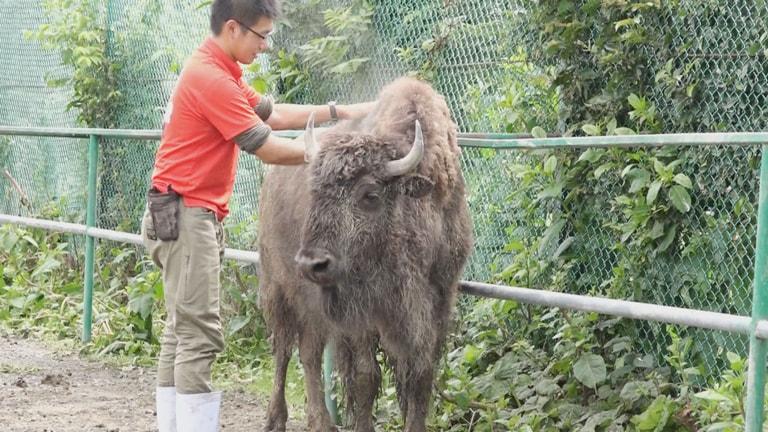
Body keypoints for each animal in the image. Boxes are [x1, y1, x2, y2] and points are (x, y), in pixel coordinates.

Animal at [258, 77, 474, 432]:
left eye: (370, 195)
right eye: (315, 192)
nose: (311, 263)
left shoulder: (437, 302)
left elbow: (420, 375)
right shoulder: (362, 314)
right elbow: (365, 376)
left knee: (308, 351)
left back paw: (320, 421)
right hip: (277, 288)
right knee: (285, 349)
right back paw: (280, 419)